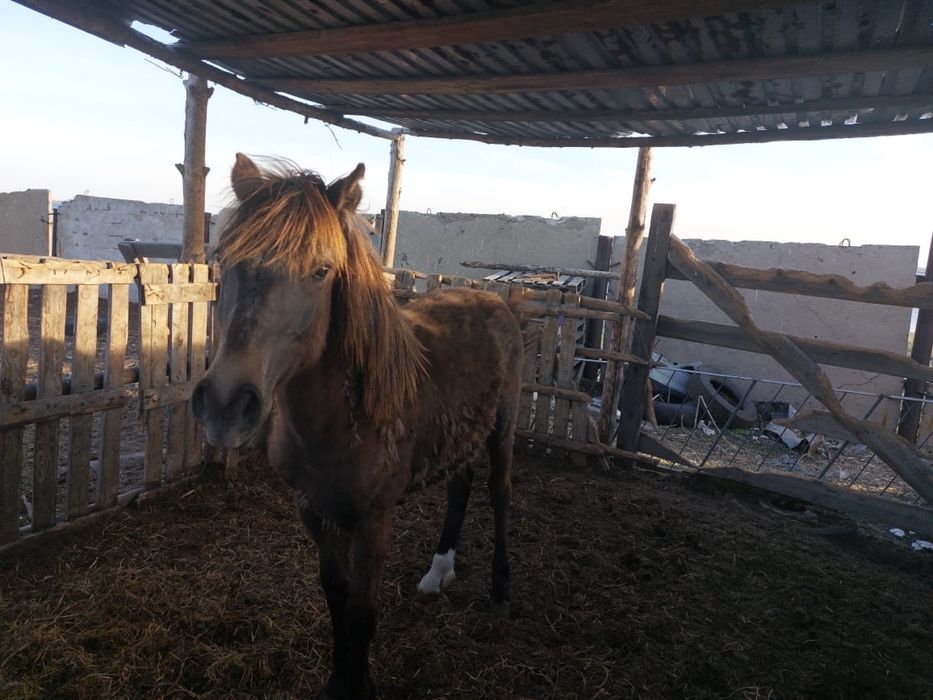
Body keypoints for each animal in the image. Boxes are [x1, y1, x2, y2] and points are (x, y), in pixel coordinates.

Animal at [191, 154, 524, 699]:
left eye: (322, 270)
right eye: (225, 260)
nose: (224, 404)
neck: (339, 421)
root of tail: (498, 303)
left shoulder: (373, 521)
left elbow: (363, 612)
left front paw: (360, 684)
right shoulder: (312, 510)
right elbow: (336, 596)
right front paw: (337, 679)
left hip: (503, 429)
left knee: (499, 491)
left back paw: (499, 589)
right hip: (460, 434)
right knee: (460, 487)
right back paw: (438, 572)